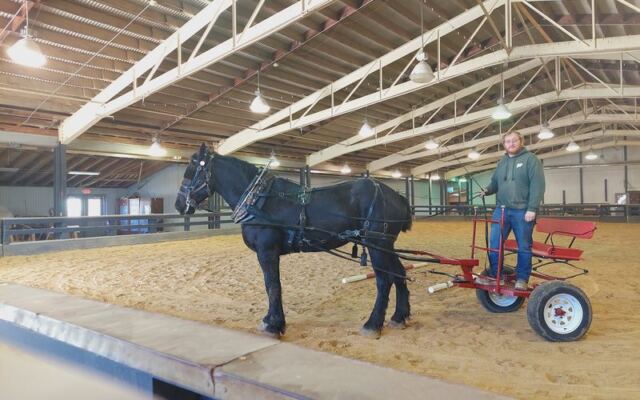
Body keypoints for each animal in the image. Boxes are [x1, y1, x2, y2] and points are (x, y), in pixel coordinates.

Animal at [175, 144, 413, 339]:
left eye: (192, 170)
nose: (179, 205)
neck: (259, 200)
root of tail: (396, 196)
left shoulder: (267, 251)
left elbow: (272, 286)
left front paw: (274, 325)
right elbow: (272, 286)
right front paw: (271, 320)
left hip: (378, 244)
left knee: (383, 281)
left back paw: (372, 324)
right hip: (386, 245)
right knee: (399, 273)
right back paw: (399, 317)